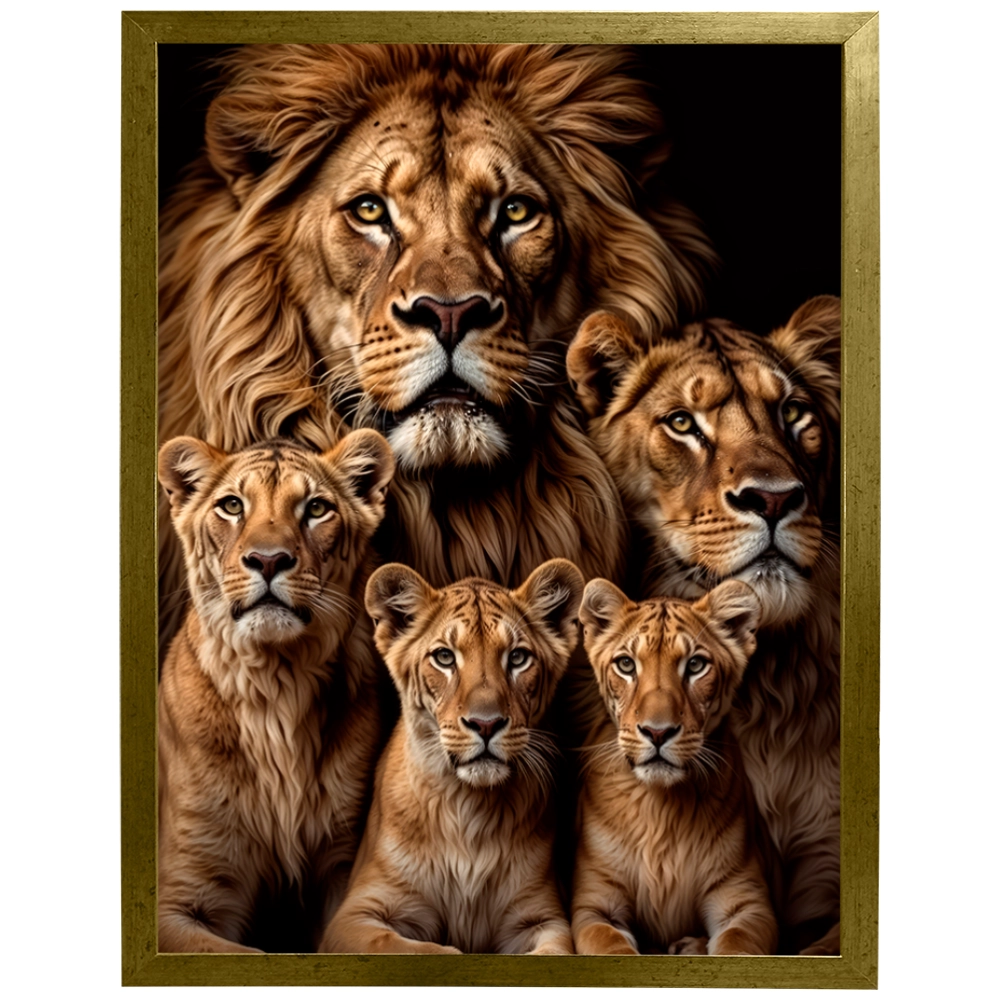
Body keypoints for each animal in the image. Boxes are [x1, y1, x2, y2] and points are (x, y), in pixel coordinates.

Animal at [156, 430, 394, 953]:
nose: (268, 560)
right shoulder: (180, 898)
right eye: (231, 505)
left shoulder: (341, 865)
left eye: (317, 508)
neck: (276, 684)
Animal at [319, 559, 584, 955]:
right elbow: (408, 948)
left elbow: (555, 954)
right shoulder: (352, 916)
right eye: (444, 657)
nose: (486, 724)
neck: (469, 806)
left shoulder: (542, 917)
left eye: (517, 658)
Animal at [574, 578, 778, 956]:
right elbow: (611, 946)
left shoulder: (746, 902)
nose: (658, 732)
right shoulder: (595, 905)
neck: (662, 809)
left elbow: (737, 945)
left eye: (695, 665)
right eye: (626, 665)